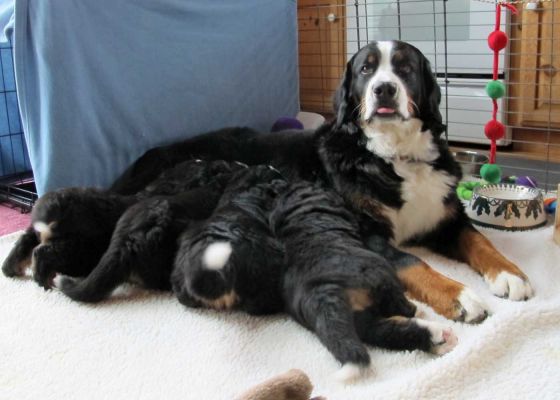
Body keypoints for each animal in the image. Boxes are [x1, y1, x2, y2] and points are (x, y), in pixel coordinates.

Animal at [2, 39, 532, 322]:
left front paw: (512, 274)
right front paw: (460, 295)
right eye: (366, 69)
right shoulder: (366, 232)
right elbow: (412, 263)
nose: (384, 89)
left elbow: (480, 241)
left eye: (403, 67)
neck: (392, 154)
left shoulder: (444, 216)